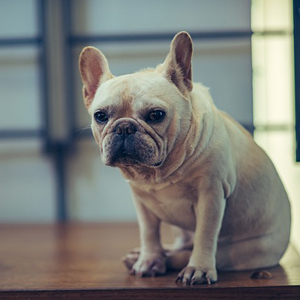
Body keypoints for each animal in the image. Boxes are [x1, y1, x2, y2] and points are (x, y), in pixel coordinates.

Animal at [79, 31, 290, 284]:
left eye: (156, 115)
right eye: (100, 116)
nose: (124, 128)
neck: (161, 172)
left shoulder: (211, 196)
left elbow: (204, 236)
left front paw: (198, 268)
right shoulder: (142, 202)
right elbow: (149, 233)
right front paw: (149, 259)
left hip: (241, 250)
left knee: (190, 253)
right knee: (179, 246)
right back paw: (145, 256)